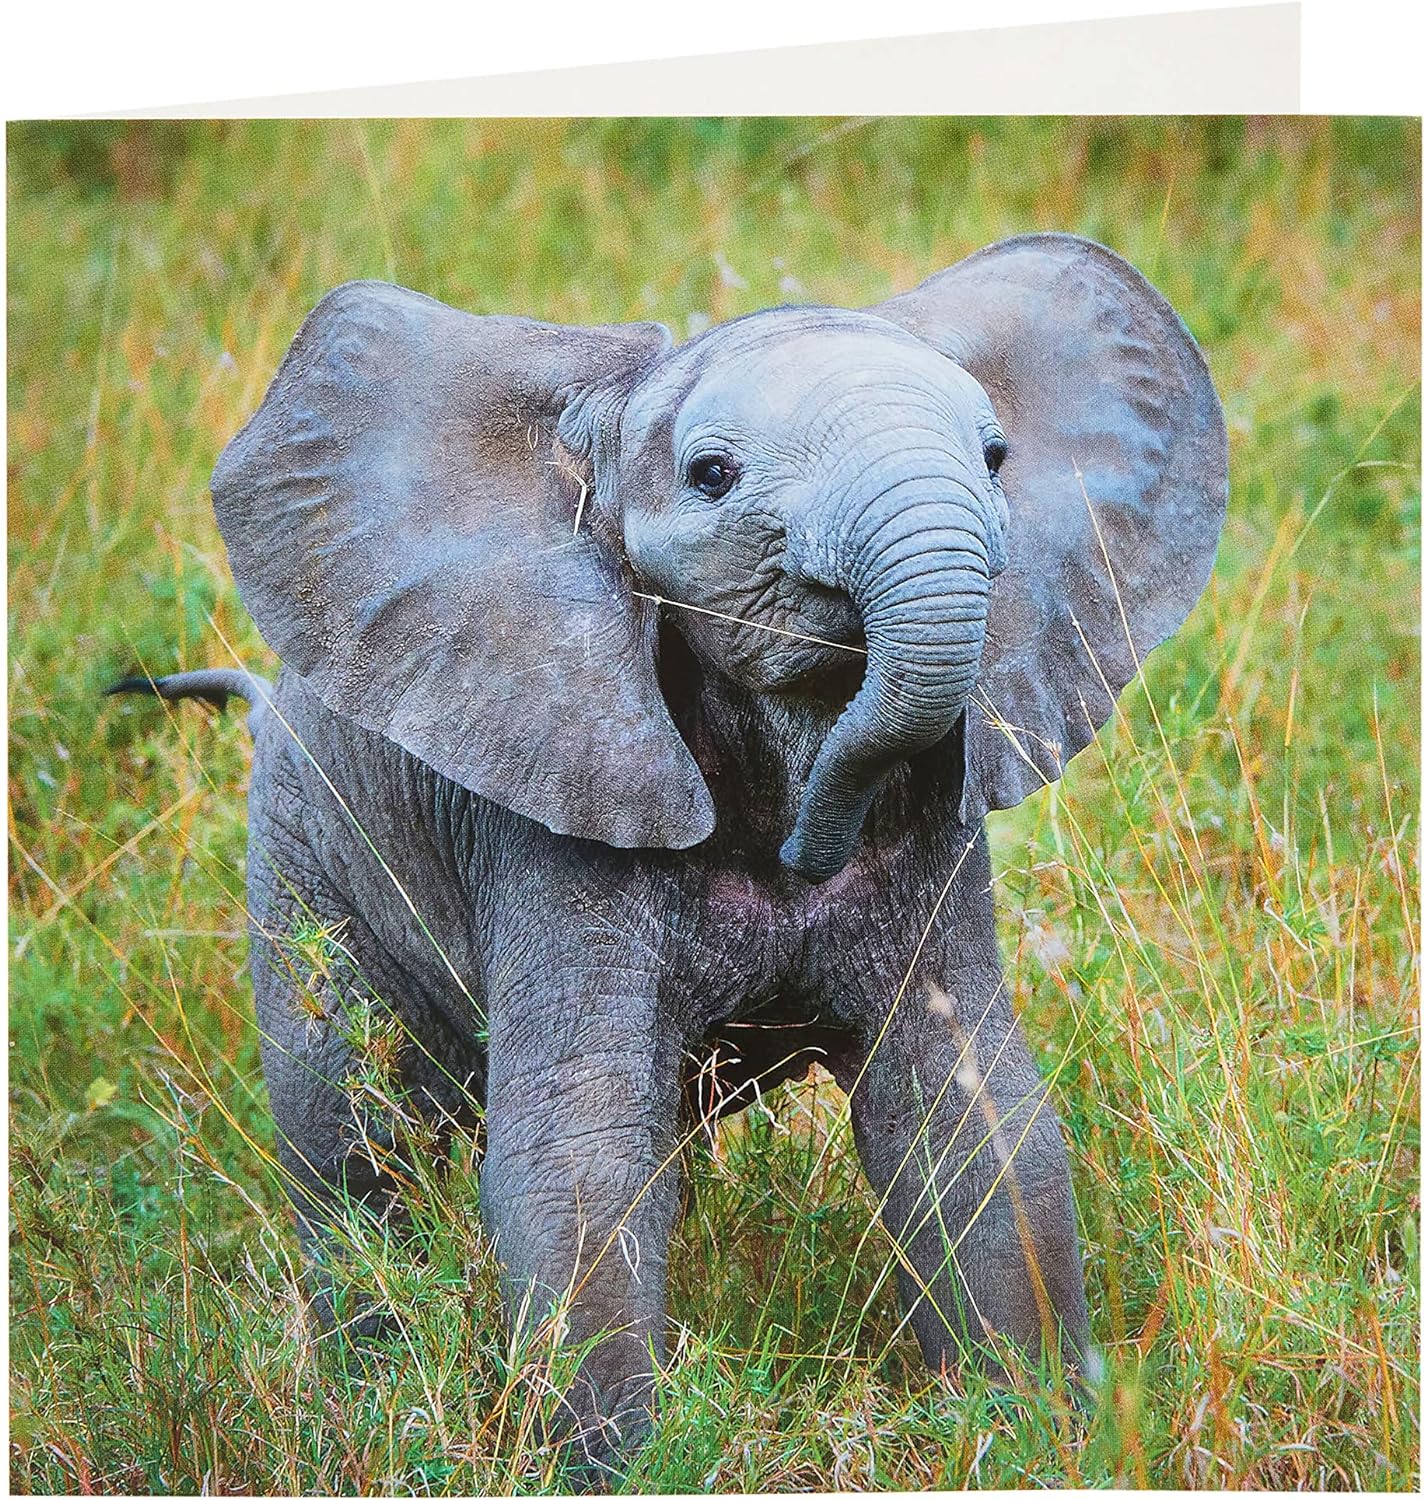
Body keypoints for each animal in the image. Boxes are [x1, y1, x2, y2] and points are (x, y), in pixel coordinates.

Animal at [109, 233, 1227, 1476]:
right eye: (710, 476)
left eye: (995, 458)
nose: (805, 852)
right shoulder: (553, 803)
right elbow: (579, 1160)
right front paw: (623, 1469)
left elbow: (973, 1124)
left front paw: (1035, 1442)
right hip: (303, 848)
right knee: (352, 1143)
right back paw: (368, 1403)